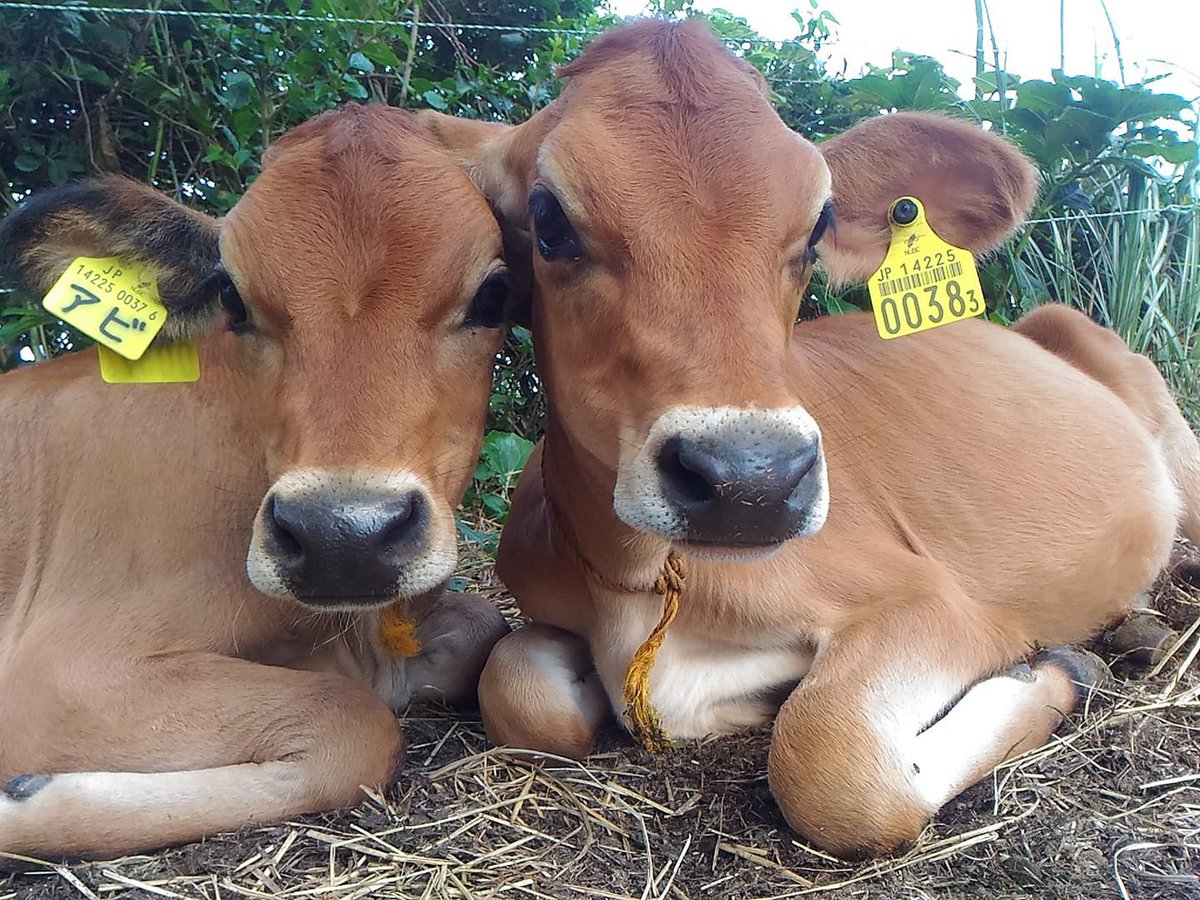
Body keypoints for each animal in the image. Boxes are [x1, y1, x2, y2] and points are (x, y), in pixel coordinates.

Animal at [0, 105, 511, 859]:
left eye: (495, 293)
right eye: (231, 298)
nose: (341, 538)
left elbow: (479, 628)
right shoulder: (60, 672)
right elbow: (351, 725)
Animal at [422, 19, 1200, 854]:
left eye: (818, 224)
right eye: (549, 219)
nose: (751, 483)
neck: (640, 582)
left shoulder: (936, 602)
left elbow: (831, 761)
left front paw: (1058, 673)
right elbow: (516, 690)